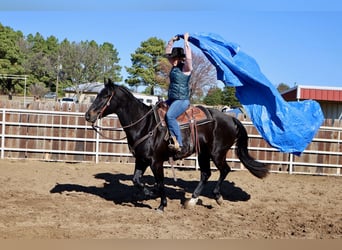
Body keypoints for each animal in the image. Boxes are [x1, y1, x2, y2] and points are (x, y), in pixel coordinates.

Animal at [84, 78, 268, 211]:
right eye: (97, 95)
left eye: (105, 96)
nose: (88, 115)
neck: (145, 125)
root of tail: (231, 119)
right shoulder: (141, 160)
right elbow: (135, 179)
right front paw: (149, 191)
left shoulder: (156, 162)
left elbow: (160, 182)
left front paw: (161, 204)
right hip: (203, 153)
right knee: (205, 174)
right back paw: (191, 201)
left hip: (217, 153)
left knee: (224, 170)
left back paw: (217, 197)